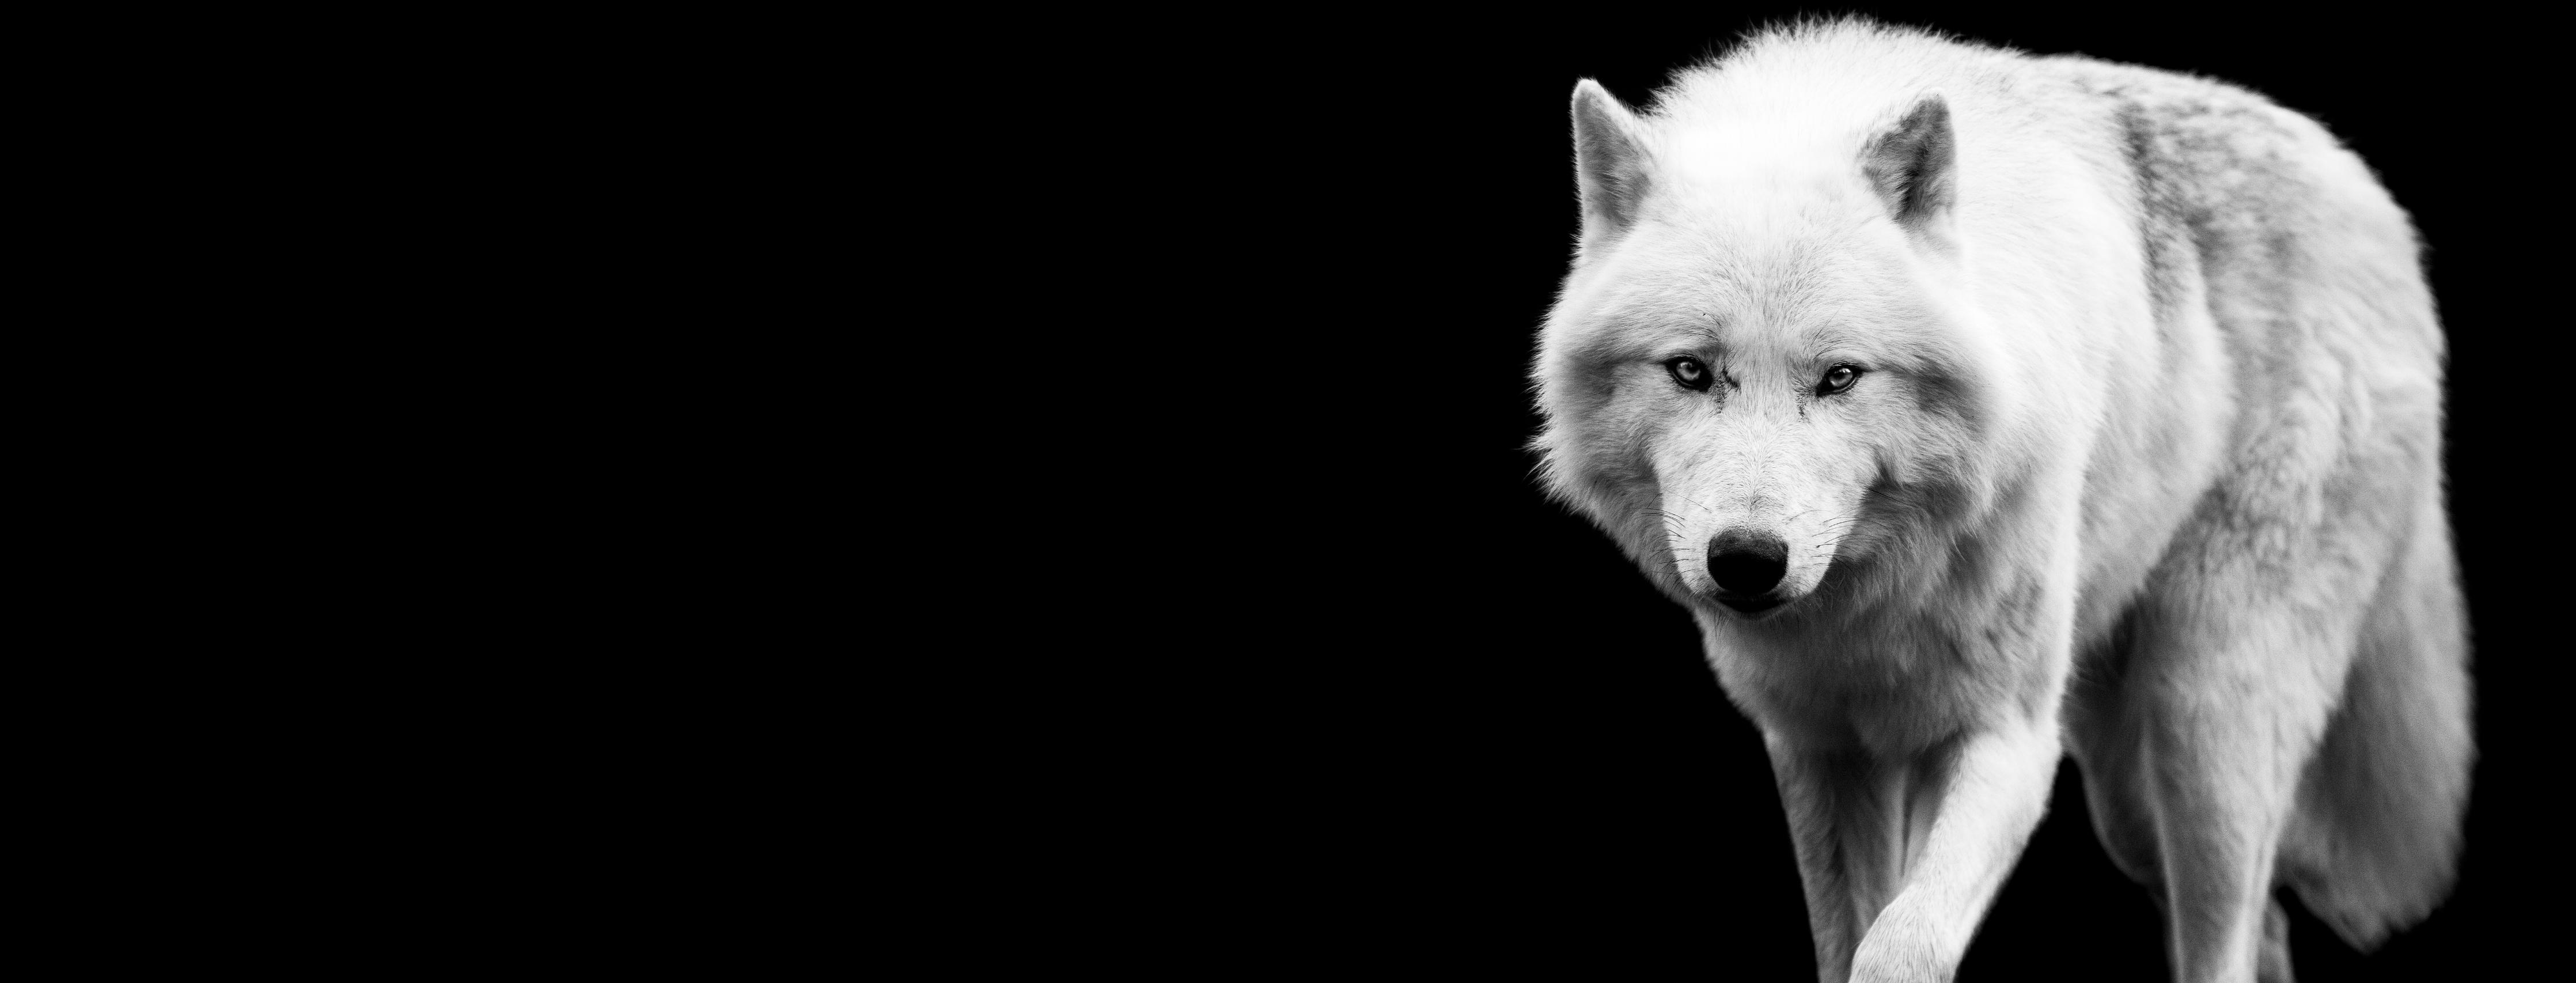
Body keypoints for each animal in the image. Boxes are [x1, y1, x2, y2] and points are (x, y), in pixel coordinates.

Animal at [1529, 21, 2471, 983]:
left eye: (1839, 377)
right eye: (1690, 370)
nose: (1748, 560)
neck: (1876, 598)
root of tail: (2366, 191)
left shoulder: (2010, 740)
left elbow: (1901, 943)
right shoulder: (1822, 749)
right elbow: (1849, 935)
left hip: (2202, 727)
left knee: (2228, 933)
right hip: (2127, 798)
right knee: (2264, 926)